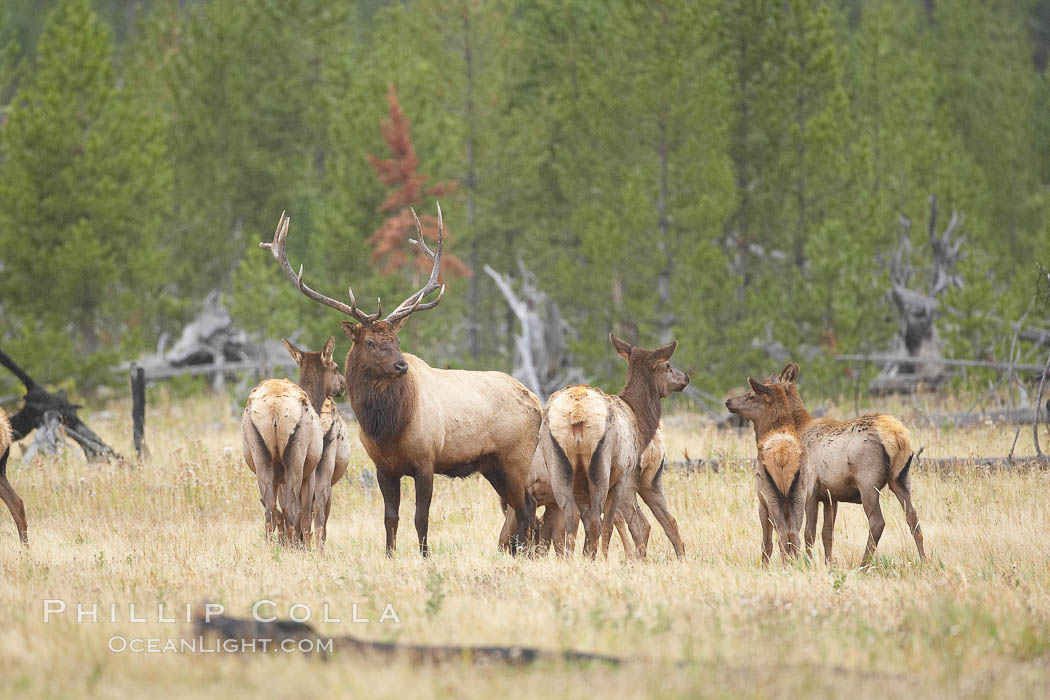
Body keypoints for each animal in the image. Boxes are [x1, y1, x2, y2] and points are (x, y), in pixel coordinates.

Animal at [240, 335, 344, 545]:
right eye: (336, 367)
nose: (343, 385)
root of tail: (275, 409)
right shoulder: (308, 472)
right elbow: (305, 516)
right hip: (296, 459)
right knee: (293, 510)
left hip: (261, 457)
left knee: (269, 511)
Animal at [262, 207, 541, 558]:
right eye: (370, 342)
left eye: (396, 339)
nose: (401, 365)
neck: (388, 427)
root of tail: (536, 402)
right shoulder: (384, 467)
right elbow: (390, 517)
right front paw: (389, 554)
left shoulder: (426, 461)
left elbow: (421, 517)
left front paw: (424, 556)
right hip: (492, 465)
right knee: (520, 507)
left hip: (517, 457)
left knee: (527, 506)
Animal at [537, 333, 692, 558]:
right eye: (668, 365)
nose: (686, 378)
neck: (639, 422)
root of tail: (577, 411)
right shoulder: (621, 476)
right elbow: (610, 524)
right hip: (603, 467)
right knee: (607, 521)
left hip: (558, 464)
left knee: (572, 515)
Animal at [722, 377, 810, 562]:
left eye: (751, 395)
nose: (728, 401)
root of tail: (782, 456)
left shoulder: (762, 503)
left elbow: (766, 543)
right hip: (799, 494)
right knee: (794, 535)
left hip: (771, 496)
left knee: (782, 535)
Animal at [772, 365, 928, 566]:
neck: (798, 426)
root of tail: (898, 436)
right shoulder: (829, 495)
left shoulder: (810, 490)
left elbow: (808, 532)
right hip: (900, 478)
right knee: (913, 516)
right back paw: (924, 560)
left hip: (868, 482)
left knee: (877, 521)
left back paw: (864, 564)